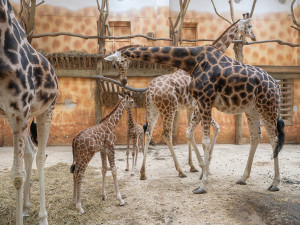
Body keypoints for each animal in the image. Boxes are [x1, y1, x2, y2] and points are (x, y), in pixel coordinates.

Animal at [0, 0, 58, 224]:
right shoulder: (14, 111)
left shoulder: (20, 109)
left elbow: (17, 175)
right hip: (15, 116)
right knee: (30, 152)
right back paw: (26, 206)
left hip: (45, 110)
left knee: (41, 155)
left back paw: (43, 216)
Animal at [102, 23, 284, 194]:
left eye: (121, 62)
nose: (123, 80)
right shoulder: (197, 105)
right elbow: (198, 133)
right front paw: (201, 168)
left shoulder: (194, 106)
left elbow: (198, 133)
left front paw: (200, 168)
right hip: (169, 108)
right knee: (163, 134)